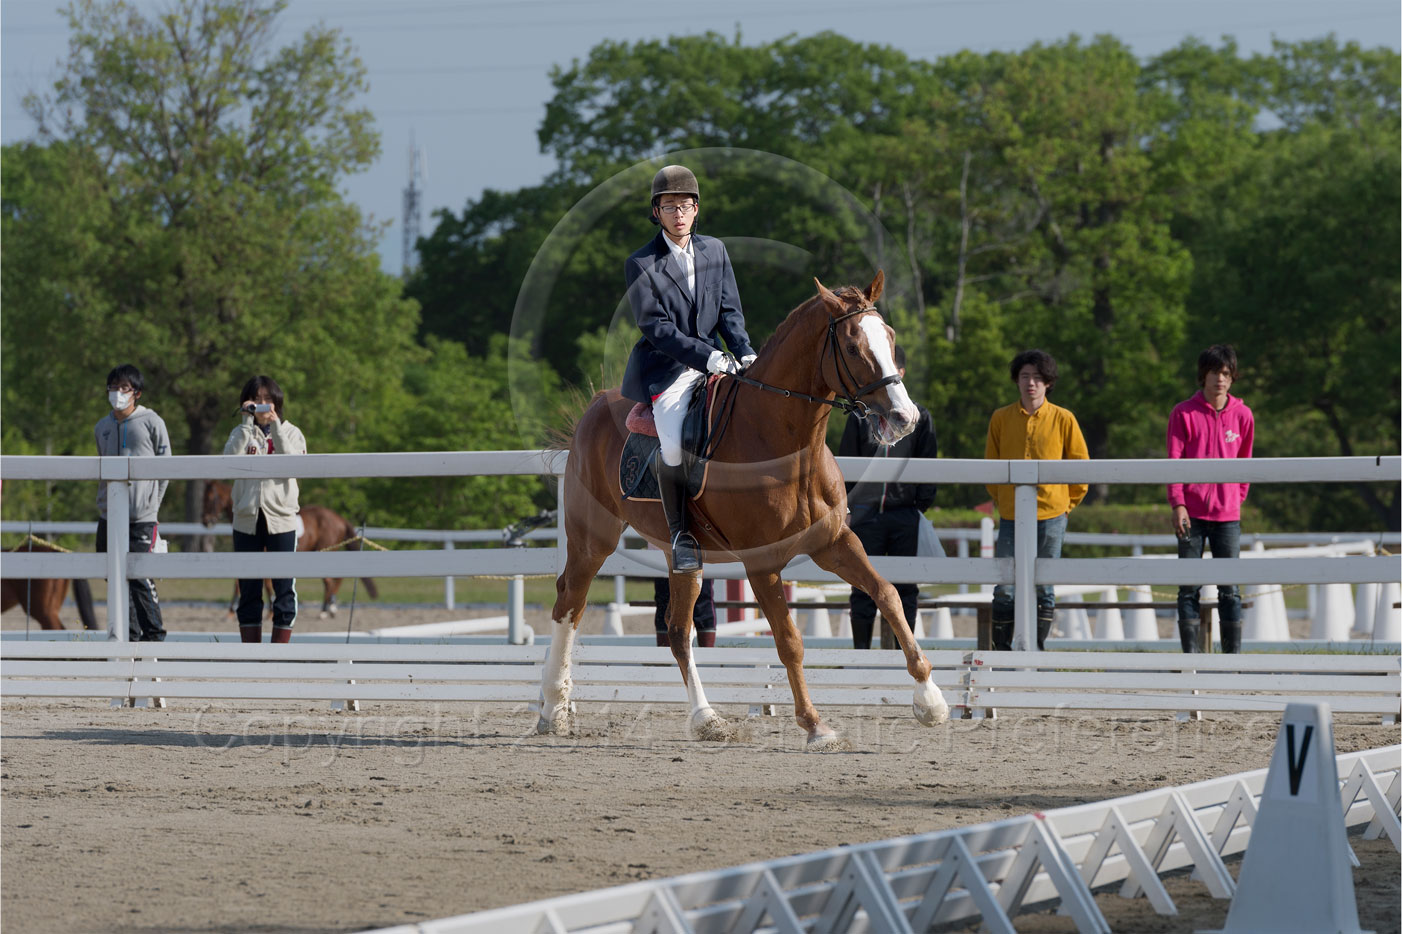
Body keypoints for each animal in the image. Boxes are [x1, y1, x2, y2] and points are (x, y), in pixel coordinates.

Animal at [200, 479, 381, 617]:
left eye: (211, 498)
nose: (206, 521)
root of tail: (338, 518)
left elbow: (264, 584)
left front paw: (267, 611)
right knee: (332, 581)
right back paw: (329, 608)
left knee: (330, 581)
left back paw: (326, 611)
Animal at [541, 267, 947, 740]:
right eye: (851, 346)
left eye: (890, 336)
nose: (905, 418)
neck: (789, 445)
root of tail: (593, 408)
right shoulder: (762, 564)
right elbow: (789, 641)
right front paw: (814, 724)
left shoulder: (834, 543)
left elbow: (888, 594)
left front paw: (930, 699)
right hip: (593, 541)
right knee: (569, 603)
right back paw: (552, 709)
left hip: (683, 558)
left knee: (677, 631)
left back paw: (706, 718)